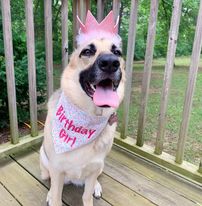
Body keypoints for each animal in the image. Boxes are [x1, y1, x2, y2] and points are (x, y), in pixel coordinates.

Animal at [39, 11, 124, 206]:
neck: (87, 116)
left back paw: (97, 187)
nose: (111, 63)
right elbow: (56, 196)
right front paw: (52, 196)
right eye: (87, 51)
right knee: (49, 181)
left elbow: (86, 195)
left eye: (117, 52)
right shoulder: (57, 169)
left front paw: (92, 192)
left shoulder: (94, 168)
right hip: (45, 162)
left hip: (100, 167)